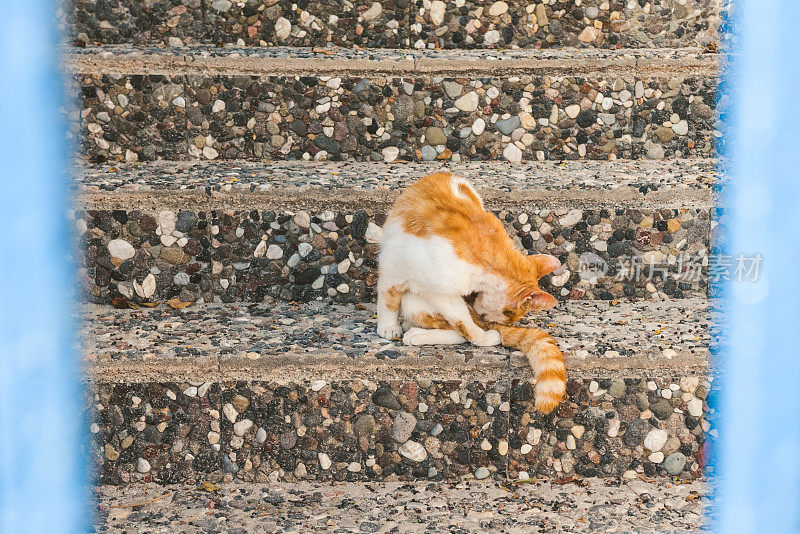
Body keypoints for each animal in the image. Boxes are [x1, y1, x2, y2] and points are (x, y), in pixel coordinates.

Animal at [378, 172, 564, 414]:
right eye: (510, 314)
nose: (500, 322)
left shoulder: (445, 291)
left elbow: (463, 324)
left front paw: (484, 336)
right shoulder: (395, 264)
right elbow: (388, 298)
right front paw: (387, 326)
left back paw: (418, 335)